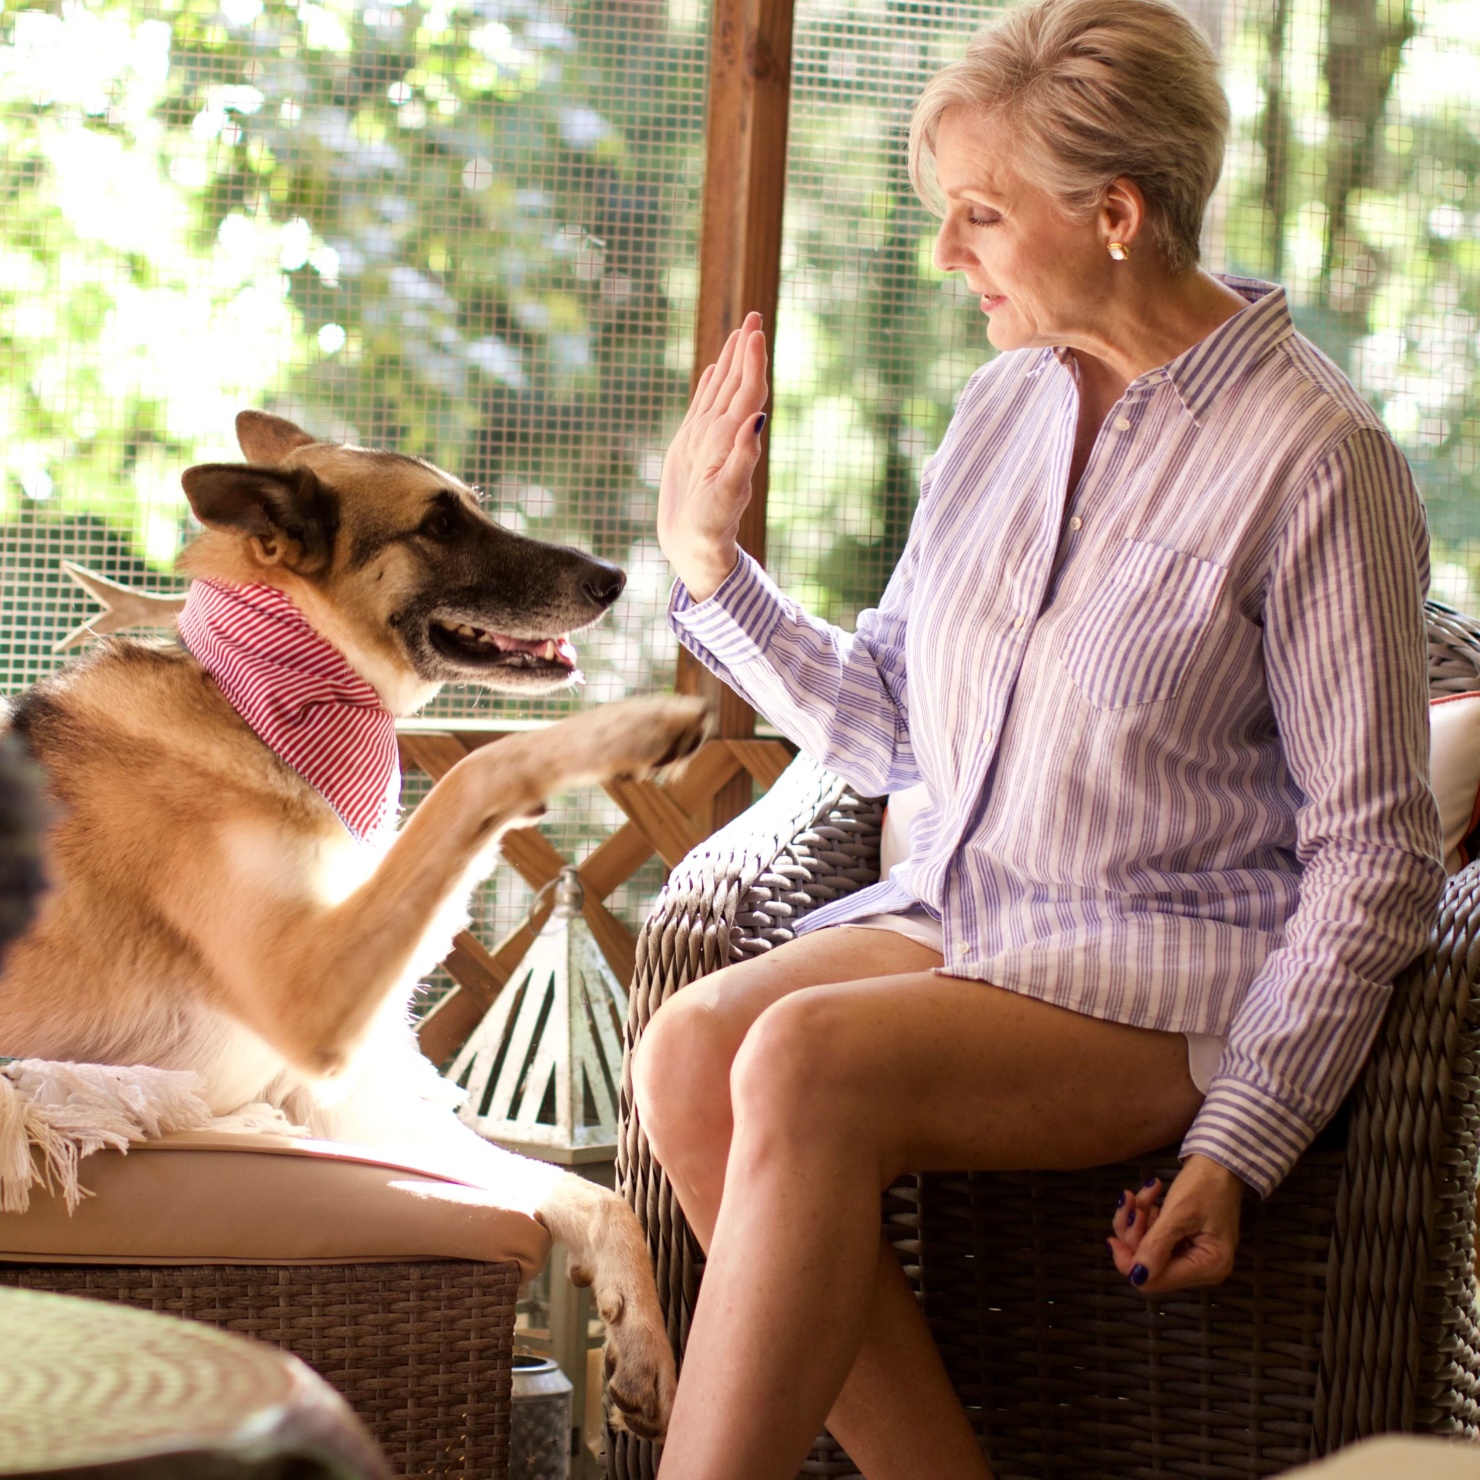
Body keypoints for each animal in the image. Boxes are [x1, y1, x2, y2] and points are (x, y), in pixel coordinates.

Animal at [0, 411, 704, 1438]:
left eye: (474, 506)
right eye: (439, 524)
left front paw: (645, 1351)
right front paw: (623, 729)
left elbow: (590, 1194)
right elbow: (474, 772)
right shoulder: (315, 998)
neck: (257, 703)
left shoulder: (340, 1102)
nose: (613, 579)